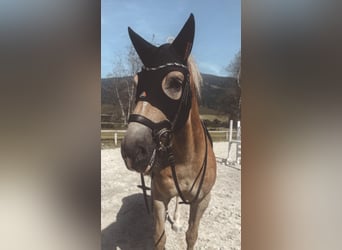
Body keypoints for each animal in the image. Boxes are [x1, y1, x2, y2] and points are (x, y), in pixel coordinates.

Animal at [121, 14, 216, 250]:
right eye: (136, 83)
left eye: (175, 83)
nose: (132, 150)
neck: (185, 157)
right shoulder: (158, 198)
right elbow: (159, 237)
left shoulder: (202, 201)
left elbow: (192, 235)